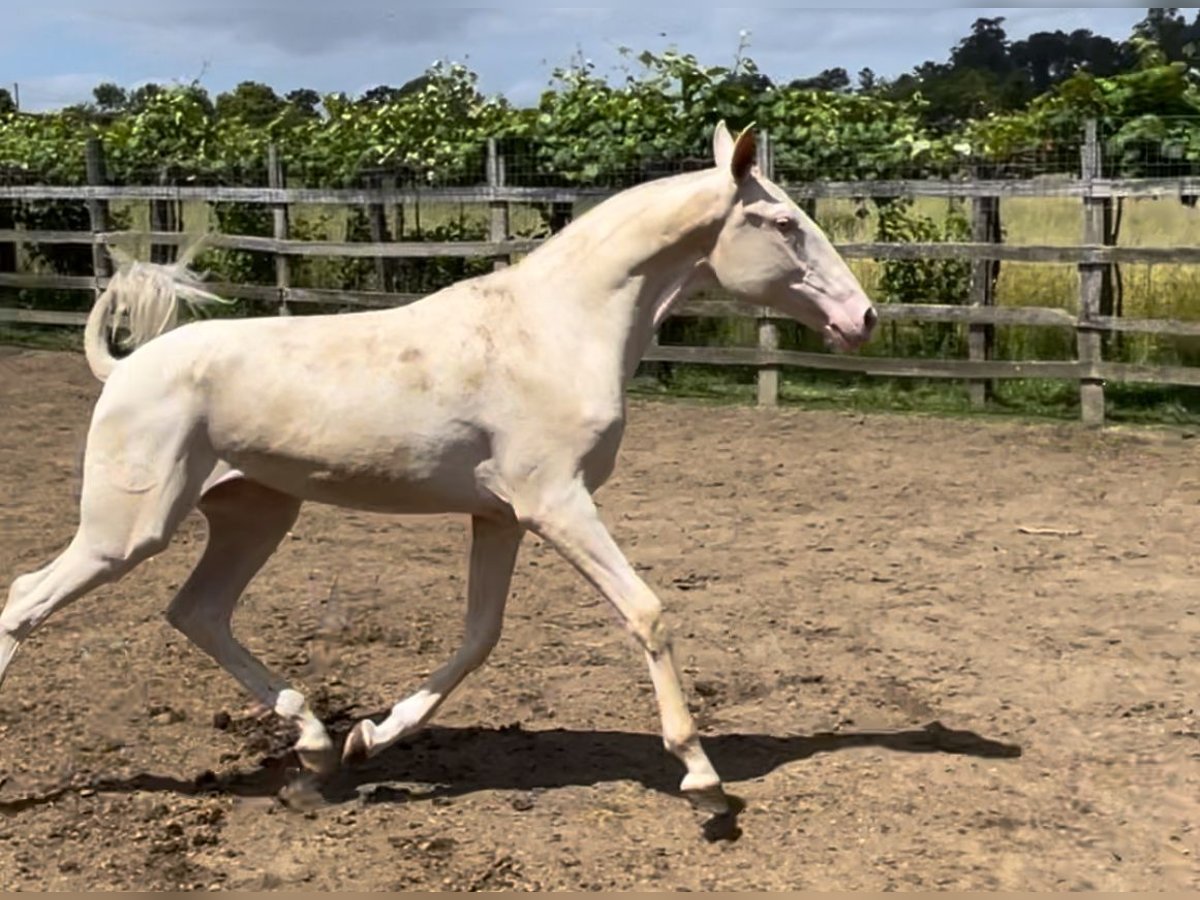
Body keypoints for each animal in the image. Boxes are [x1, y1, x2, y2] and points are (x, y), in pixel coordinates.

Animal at [0, 123, 873, 820]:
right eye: (784, 223)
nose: (863, 318)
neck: (556, 329)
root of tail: (122, 368)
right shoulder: (558, 503)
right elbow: (648, 612)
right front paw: (703, 781)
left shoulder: (501, 516)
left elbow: (479, 637)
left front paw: (367, 738)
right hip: (130, 529)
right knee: (26, 600)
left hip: (256, 513)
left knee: (197, 612)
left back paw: (315, 751)